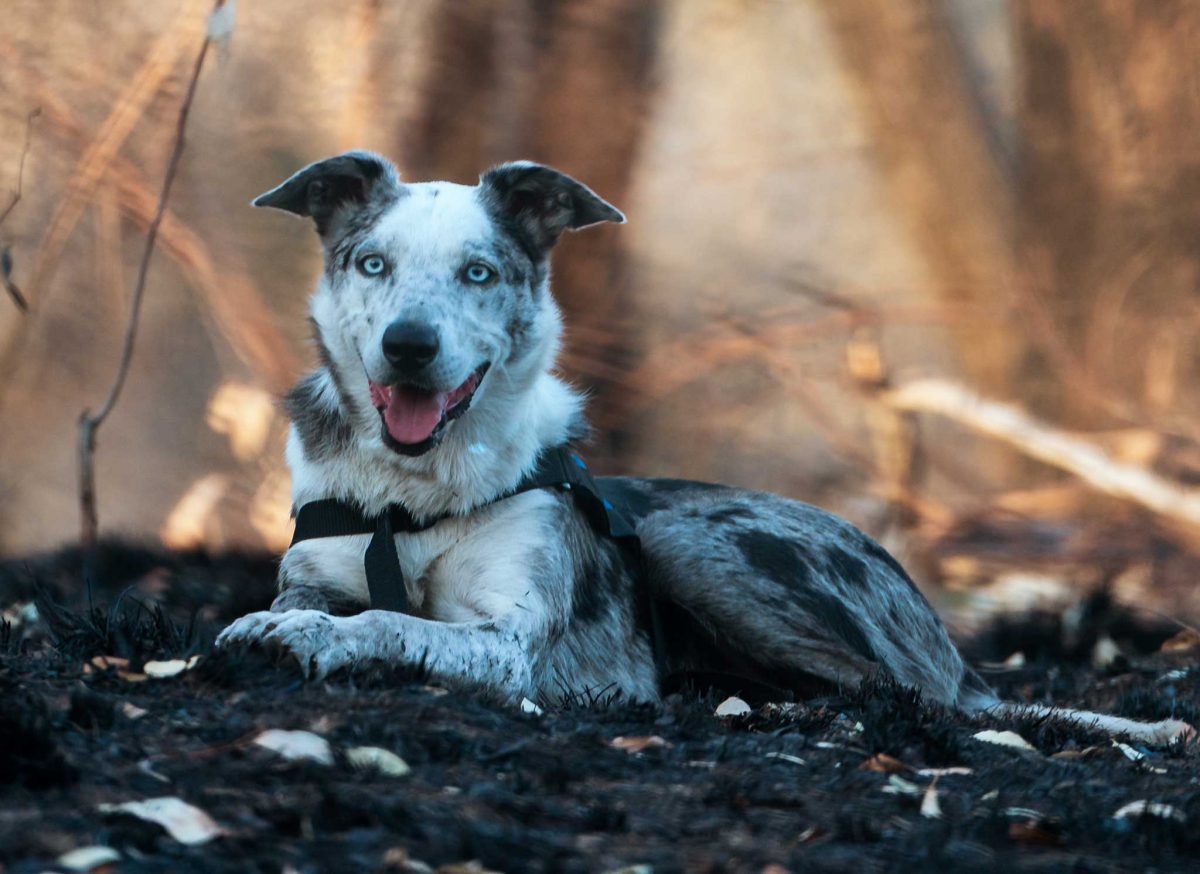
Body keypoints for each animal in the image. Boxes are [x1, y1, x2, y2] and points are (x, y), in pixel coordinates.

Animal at [218, 151, 1190, 744]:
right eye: (372, 263)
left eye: (478, 272)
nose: (410, 347)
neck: (416, 495)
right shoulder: (323, 566)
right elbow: (328, 602)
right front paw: (285, 622)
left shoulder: (510, 642)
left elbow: (393, 621)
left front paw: (306, 636)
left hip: (691, 545)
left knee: (909, 695)